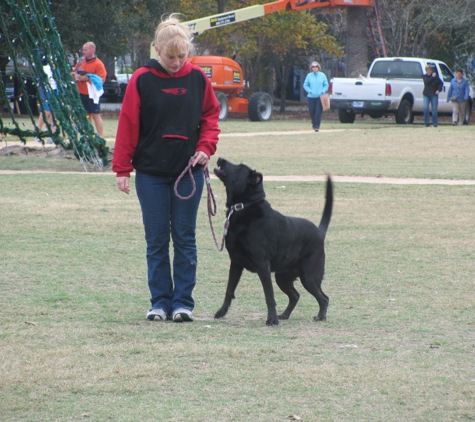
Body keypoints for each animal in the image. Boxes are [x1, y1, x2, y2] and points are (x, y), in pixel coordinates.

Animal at [214, 158, 332, 326]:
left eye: (239, 167)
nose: (220, 159)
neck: (244, 206)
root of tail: (320, 232)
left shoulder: (262, 265)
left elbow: (269, 295)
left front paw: (272, 319)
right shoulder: (236, 263)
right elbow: (229, 290)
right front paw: (222, 312)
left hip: (308, 276)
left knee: (324, 298)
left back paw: (320, 316)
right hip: (283, 277)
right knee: (295, 295)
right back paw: (285, 315)